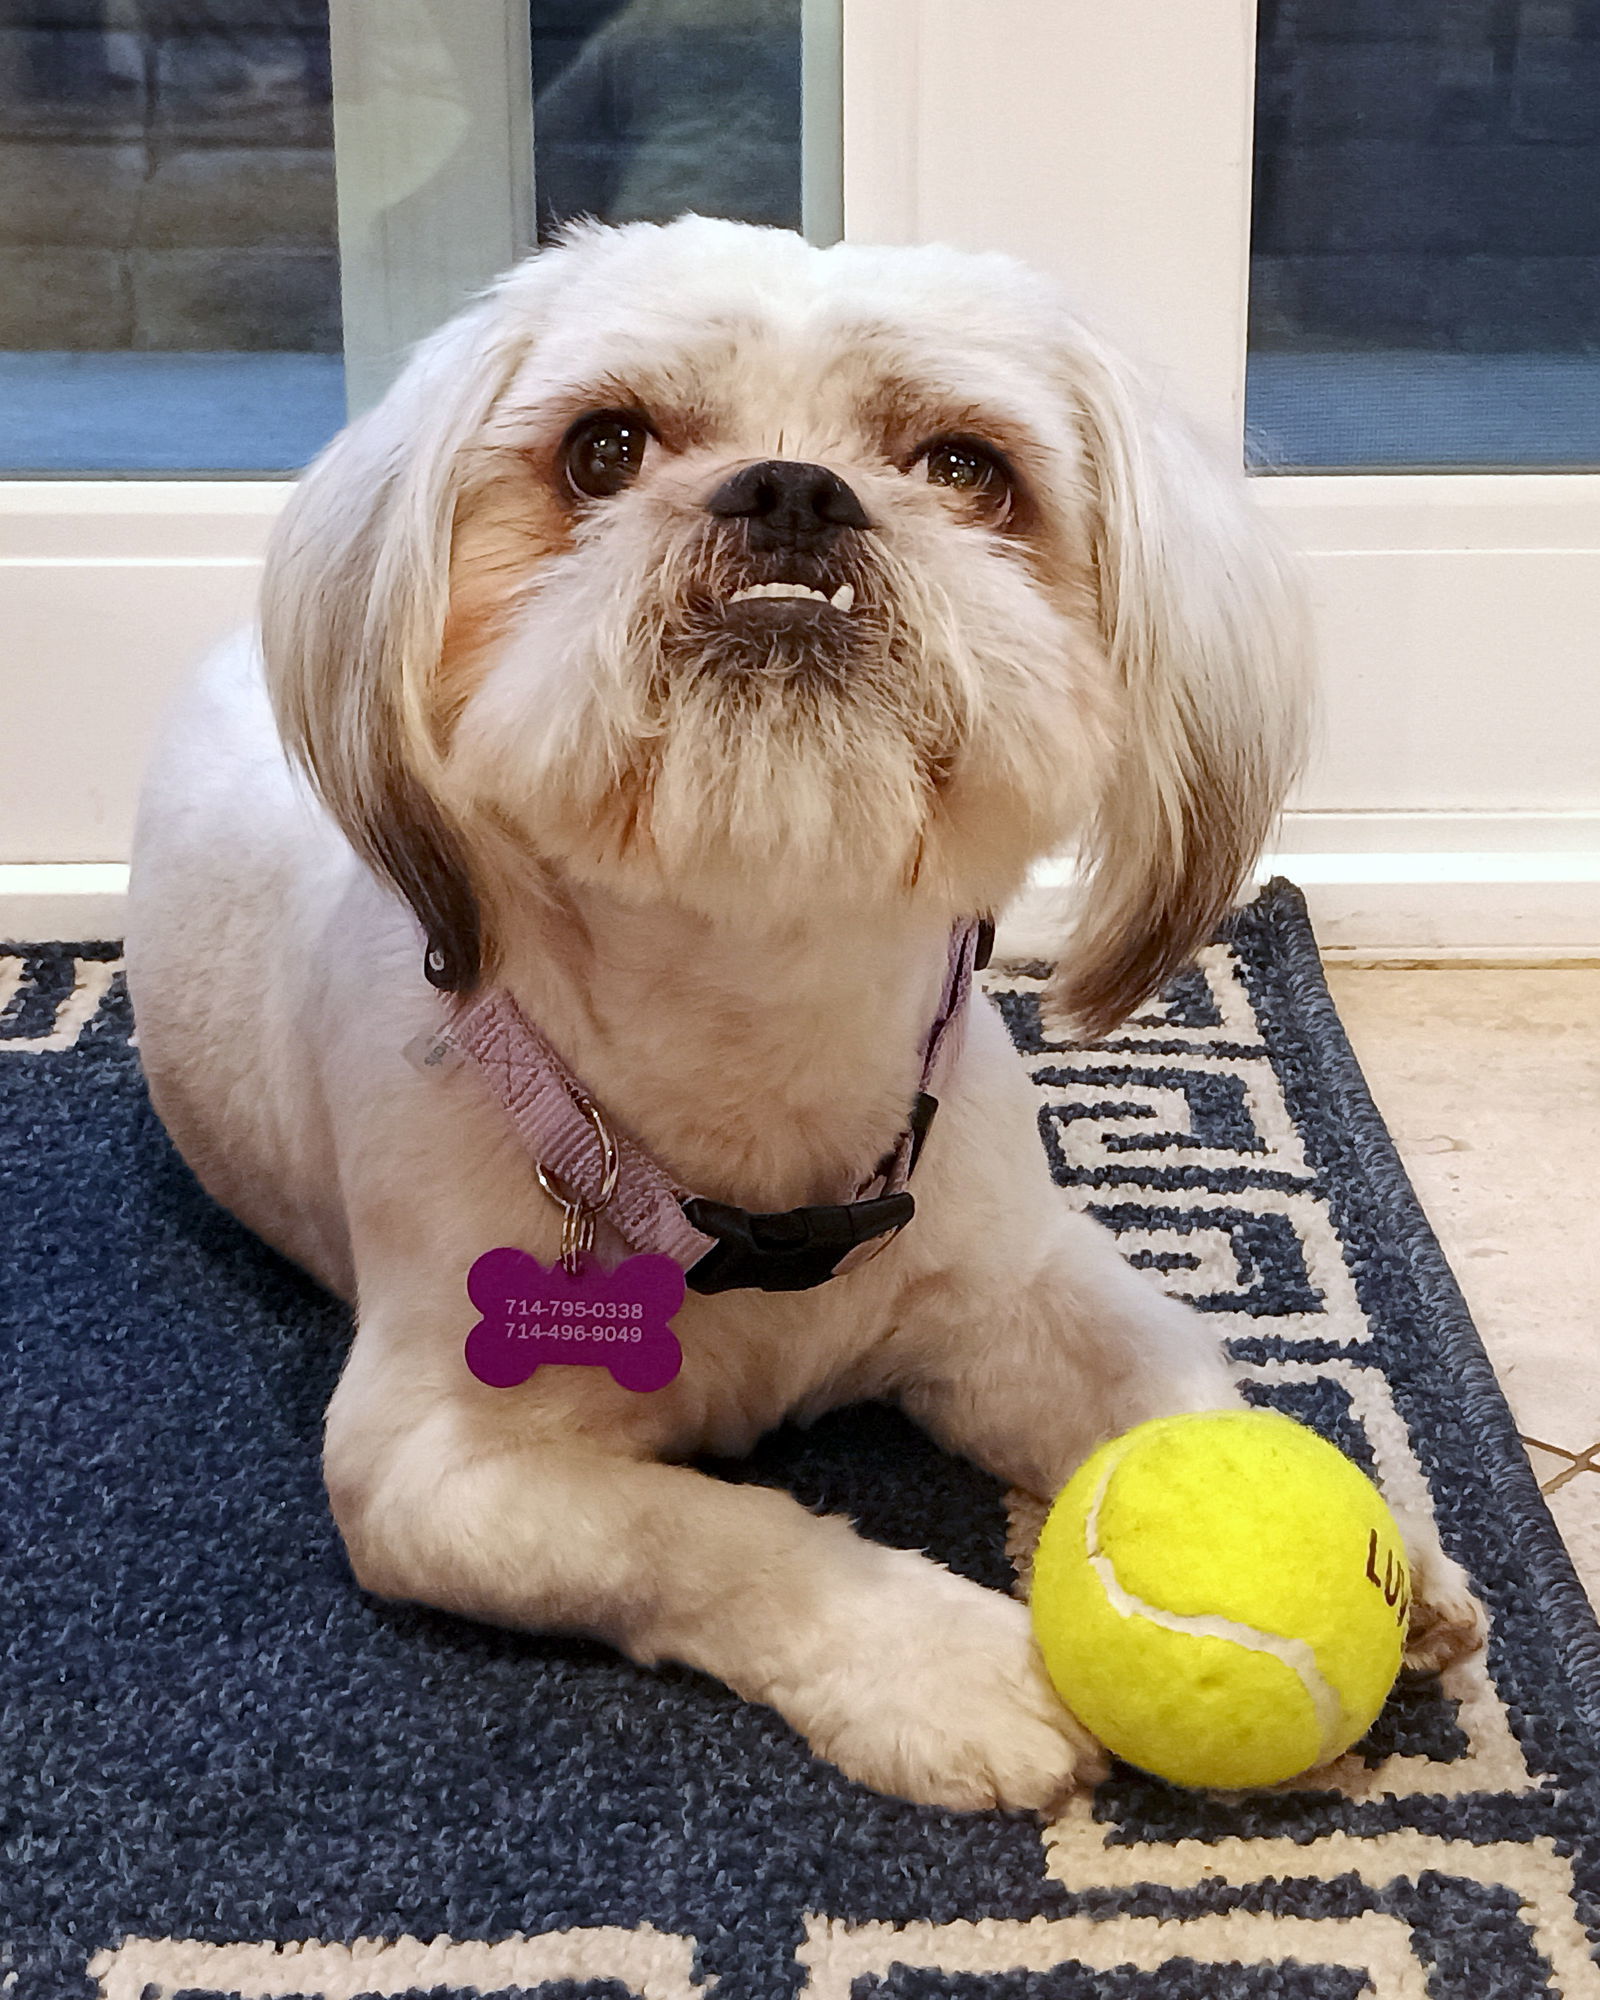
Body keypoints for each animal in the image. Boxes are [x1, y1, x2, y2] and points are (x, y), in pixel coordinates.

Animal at [128, 219, 1488, 1816]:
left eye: (965, 466)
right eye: (603, 449)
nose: (789, 488)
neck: (756, 1036)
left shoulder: (1022, 1289)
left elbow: (1173, 1383)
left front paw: (1374, 1538)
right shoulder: (433, 1470)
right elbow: (706, 1534)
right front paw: (947, 1663)